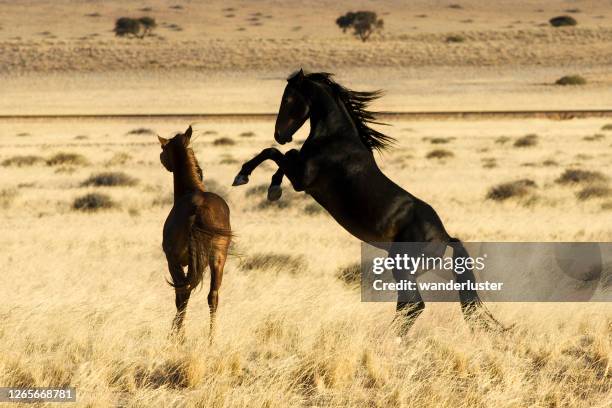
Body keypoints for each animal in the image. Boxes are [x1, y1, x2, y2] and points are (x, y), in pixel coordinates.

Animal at [158, 125, 232, 342]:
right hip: (218, 259)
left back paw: (178, 335)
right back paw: (211, 338)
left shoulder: (174, 261)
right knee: (213, 296)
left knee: (183, 294)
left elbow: (181, 295)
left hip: (178, 261)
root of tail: (198, 207)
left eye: (163, 150)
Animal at [232, 69, 504, 332]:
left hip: (403, 266)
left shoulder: (303, 179)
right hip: (434, 270)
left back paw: (388, 338)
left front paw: (247, 178)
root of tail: (444, 236)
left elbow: (275, 153)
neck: (335, 138)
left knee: (413, 305)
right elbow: (282, 154)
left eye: (288, 99)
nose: (280, 134)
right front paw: (269, 186)